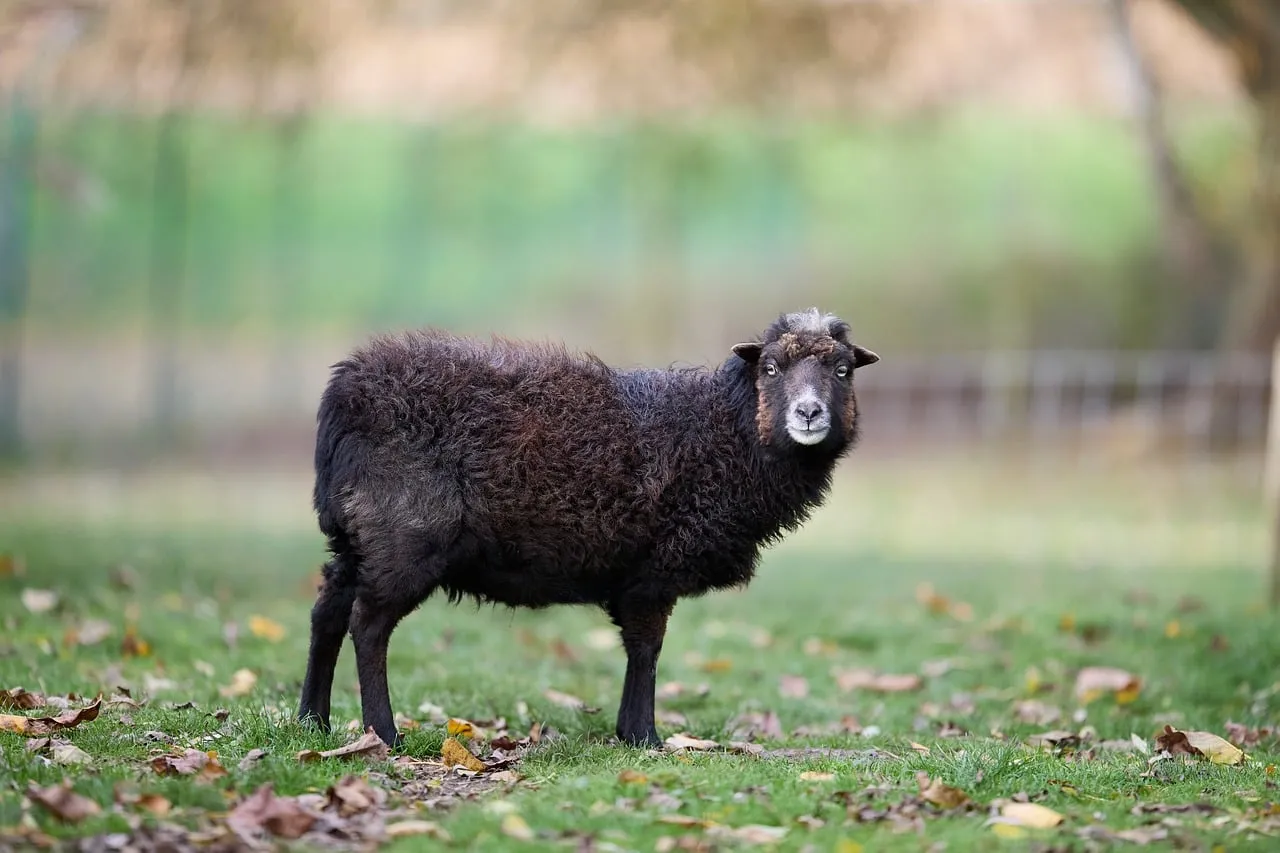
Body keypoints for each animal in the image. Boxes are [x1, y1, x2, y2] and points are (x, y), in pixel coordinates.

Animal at [296, 307, 880, 749]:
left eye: (843, 371)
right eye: (773, 368)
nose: (809, 413)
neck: (722, 432)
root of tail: (344, 392)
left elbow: (640, 650)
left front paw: (631, 732)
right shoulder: (653, 571)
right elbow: (646, 650)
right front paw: (644, 737)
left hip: (355, 537)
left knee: (328, 612)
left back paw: (312, 722)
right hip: (403, 534)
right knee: (368, 625)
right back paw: (383, 733)